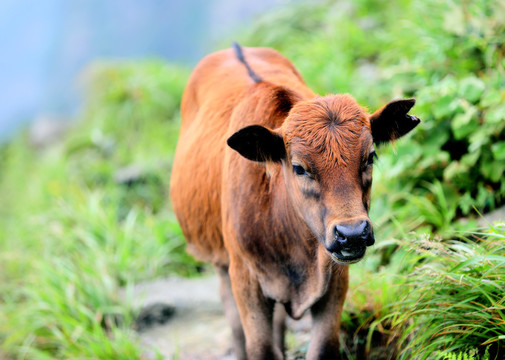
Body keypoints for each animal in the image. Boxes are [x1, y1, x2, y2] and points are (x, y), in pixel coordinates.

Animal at [171, 43, 420, 358]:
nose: (352, 233)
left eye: (370, 156)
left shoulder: (334, 278)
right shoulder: (245, 280)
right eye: (299, 167)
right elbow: (259, 347)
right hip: (219, 262)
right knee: (235, 327)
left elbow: (323, 346)